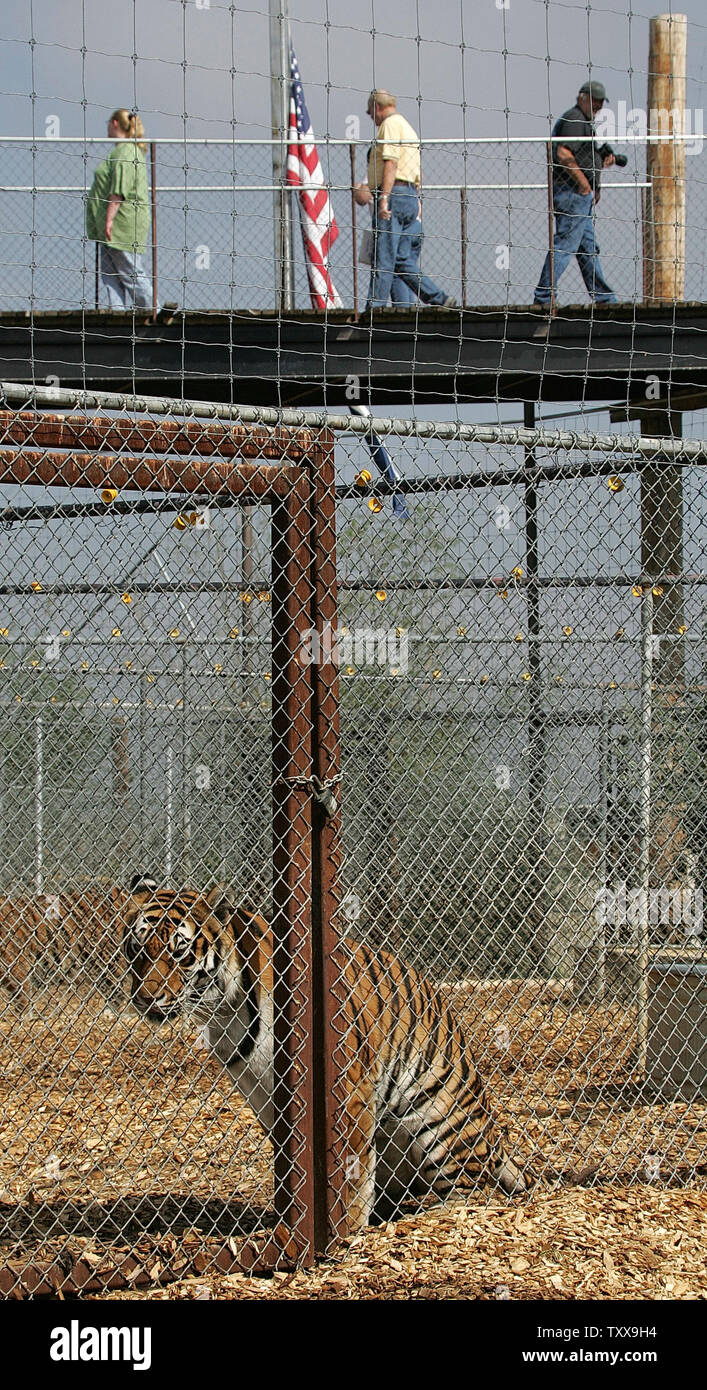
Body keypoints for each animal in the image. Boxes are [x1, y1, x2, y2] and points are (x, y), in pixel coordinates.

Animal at [121, 872, 527, 1234]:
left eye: (180, 952)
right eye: (137, 948)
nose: (145, 998)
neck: (224, 1010)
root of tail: (494, 1134)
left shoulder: (351, 1084)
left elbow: (352, 1167)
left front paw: (346, 1230)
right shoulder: (262, 1092)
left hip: (439, 1123)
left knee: (471, 1191)